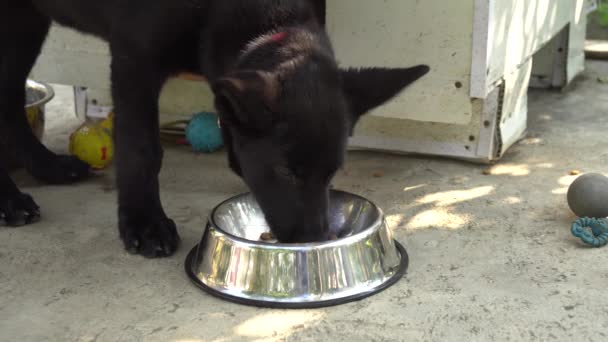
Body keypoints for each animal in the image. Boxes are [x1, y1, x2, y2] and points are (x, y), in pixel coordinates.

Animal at [1, 0, 428, 256]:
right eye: (286, 172)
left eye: (333, 173)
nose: (314, 242)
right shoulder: (133, 60)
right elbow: (142, 149)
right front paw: (145, 223)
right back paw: (11, 201)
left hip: (26, 19)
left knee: (9, 99)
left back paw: (47, 166)